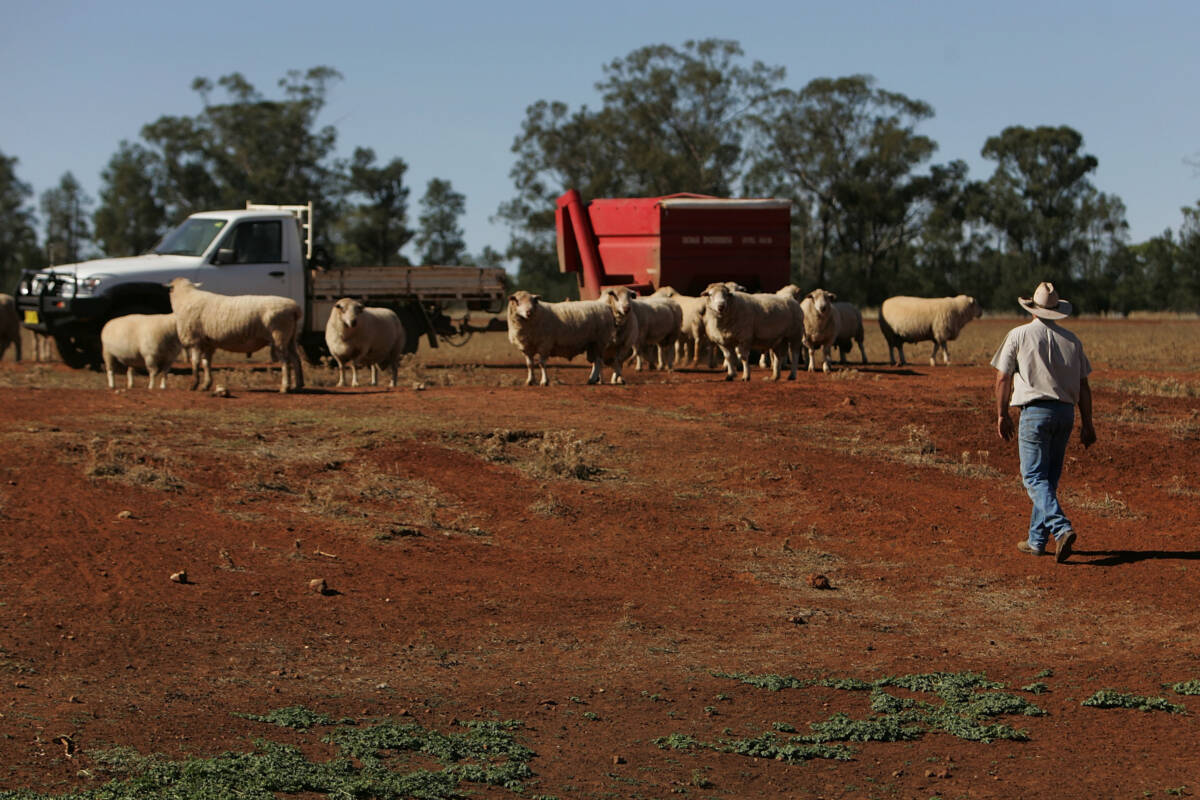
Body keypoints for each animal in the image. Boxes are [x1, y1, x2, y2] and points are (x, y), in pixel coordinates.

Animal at [169, 277, 304, 395]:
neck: (186, 297)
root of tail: (294, 308)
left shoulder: (195, 340)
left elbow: (195, 363)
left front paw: (194, 385)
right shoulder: (208, 343)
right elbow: (206, 363)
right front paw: (205, 385)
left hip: (279, 336)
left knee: (285, 361)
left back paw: (285, 387)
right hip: (290, 338)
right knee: (296, 358)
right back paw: (298, 385)